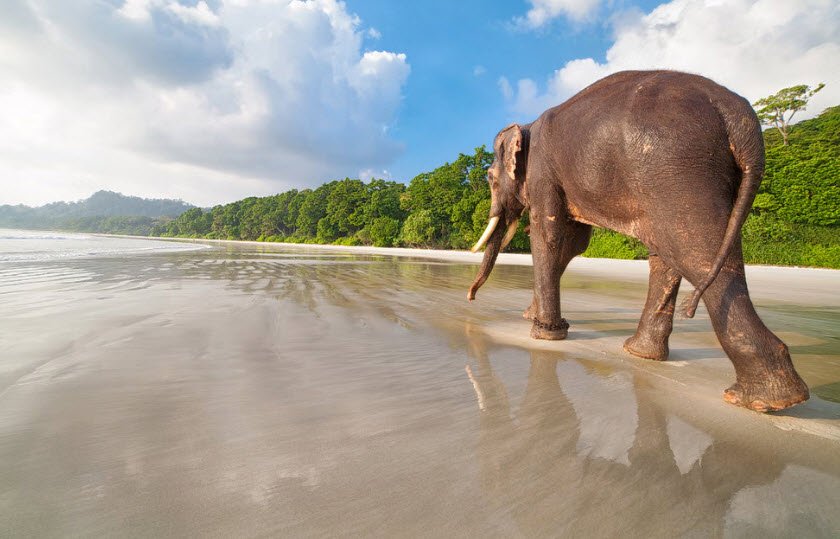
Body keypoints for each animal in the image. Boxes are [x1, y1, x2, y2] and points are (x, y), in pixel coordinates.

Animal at [466, 70, 809, 413]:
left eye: (489, 179)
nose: (470, 297)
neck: (526, 125)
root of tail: (737, 114)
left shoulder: (543, 173)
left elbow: (549, 234)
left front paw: (543, 333)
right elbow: (572, 243)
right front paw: (534, 318)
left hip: (673, 168)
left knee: (694, 252)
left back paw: (764, 400)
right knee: (673, 252)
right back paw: (643, 354)